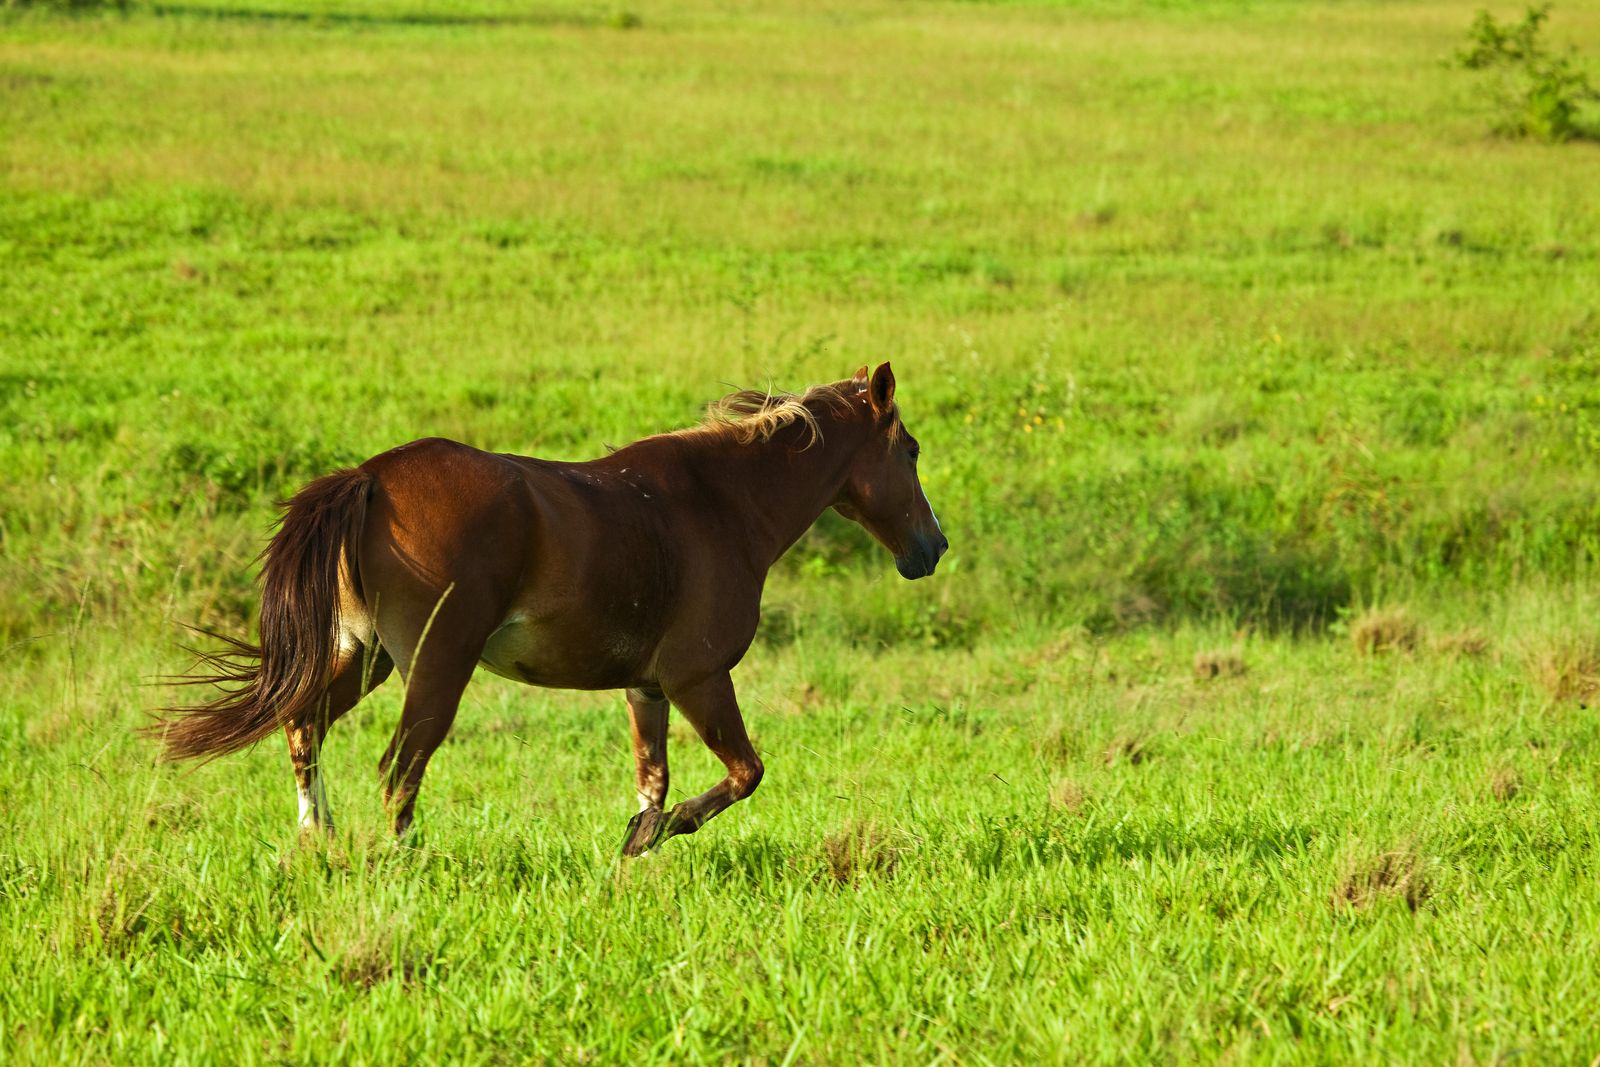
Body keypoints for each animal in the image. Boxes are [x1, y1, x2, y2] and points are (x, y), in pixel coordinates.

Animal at [152, 363, 947, 854]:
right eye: (909, 449)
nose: (932, 547)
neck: (720, 502)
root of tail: (370, 477)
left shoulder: (648, 687)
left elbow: (653, 783)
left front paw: (637, 845)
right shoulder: (697, 677)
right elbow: (743, 773)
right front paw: (664, 832)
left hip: (361, 655)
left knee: (302, 725)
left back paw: (317, 841)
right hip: (435, 663)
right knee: (399, 766)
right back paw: (402, 861)